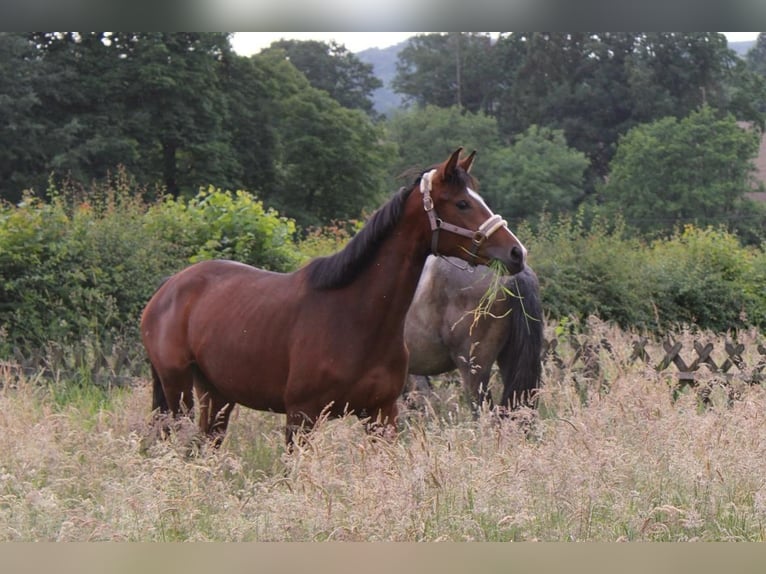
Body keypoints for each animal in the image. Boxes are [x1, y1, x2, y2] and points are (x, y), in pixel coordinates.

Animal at [140, 148, 528, 446]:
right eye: (462, 204)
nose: (516, 253)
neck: (354, 317)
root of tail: (167, 289)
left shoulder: (382, 414)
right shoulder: (301, 417)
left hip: (216, 395)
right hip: (177, 390)